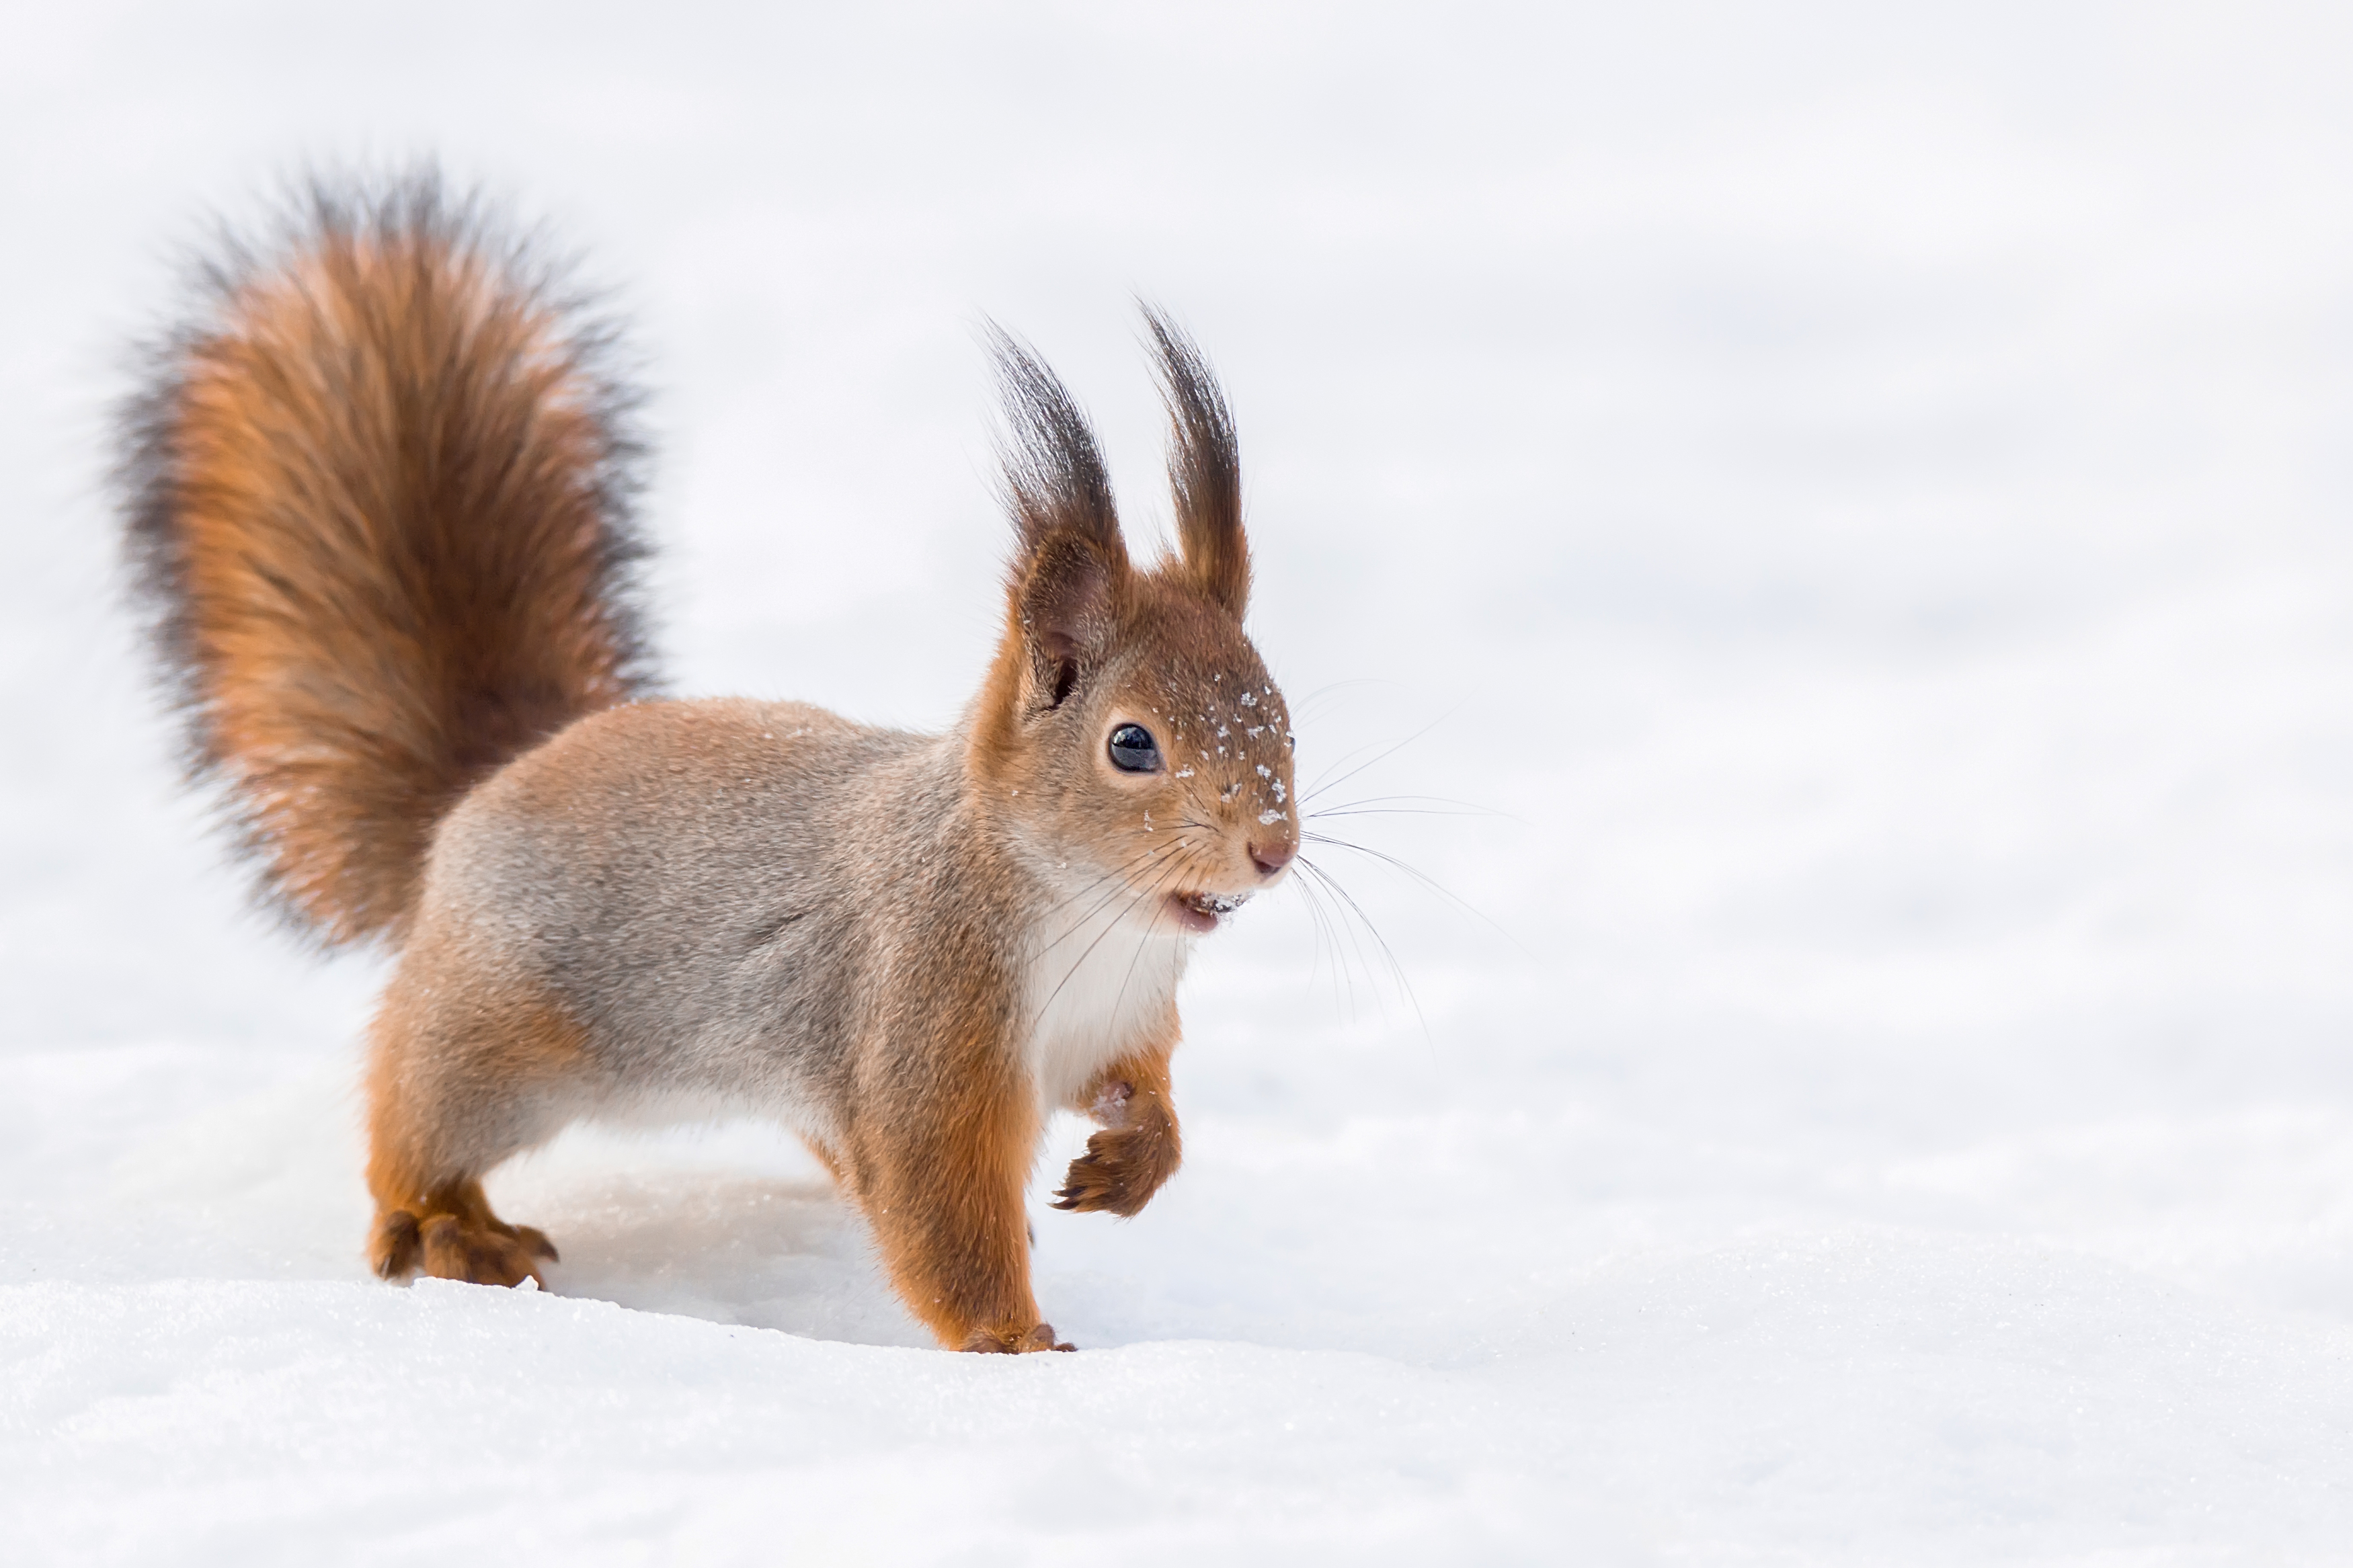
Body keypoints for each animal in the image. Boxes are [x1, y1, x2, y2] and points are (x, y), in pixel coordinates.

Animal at [119, 169, 1299, 1354]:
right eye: (1131, 744)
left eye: (1282, 711)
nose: (1273, 850)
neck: (1090, 915)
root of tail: (486, 788)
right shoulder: (922, 1017)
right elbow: (937, 1205)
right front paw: (1012, 1346)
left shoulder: (1123, 1020)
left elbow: (1142, 1101)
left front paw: (1131, 1161)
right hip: (494, 1034)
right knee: (413, 1117)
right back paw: (447, 1227)